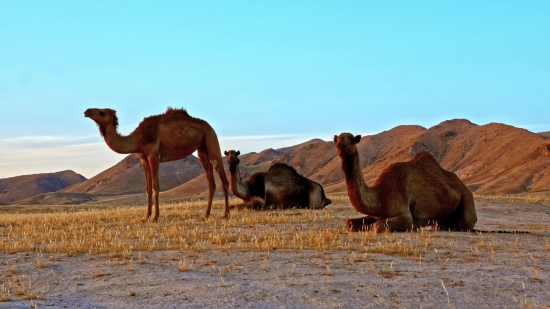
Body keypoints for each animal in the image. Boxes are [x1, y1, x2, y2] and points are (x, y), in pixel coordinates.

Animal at [84, 107, 231, 220]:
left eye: (102, 112)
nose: (86, 111)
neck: (137, 139)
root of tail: (209, 126)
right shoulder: (143, 158)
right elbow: (148, 188)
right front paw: (146, 216)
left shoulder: (153, 155)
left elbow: (155, 187)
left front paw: (155, 217)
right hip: (201, 149)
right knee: (211, 182)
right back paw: (206, 215)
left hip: (211, 140)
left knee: (223, 179)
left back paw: (225, 214)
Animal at [334, 132, 480, 231]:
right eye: (337, 138)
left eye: (352, 139)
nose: (340, 139)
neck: (380, 194)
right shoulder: (378, 213)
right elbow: (349, 223)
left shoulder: (405, 215)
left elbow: (378, 225)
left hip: (467, 198)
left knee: (466, 224)